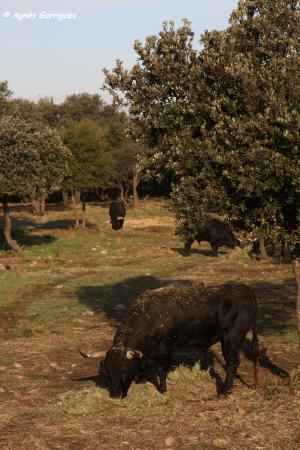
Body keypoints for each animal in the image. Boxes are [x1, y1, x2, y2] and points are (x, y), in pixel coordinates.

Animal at [79, 284, 258, 400]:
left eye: (124, 370)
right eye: (108, 373)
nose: (116, 396)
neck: (149, 316)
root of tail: (243, 289)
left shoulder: (166, 350)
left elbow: (162, 371)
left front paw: (163, 390)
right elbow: (142, 365)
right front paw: (140, 380)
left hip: (231, 339)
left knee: (232, 363)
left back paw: (225, 391)